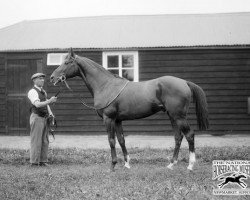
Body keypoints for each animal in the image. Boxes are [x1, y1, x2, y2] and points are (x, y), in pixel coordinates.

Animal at [49, 48, 209, 172]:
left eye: (67, 63)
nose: (52, 78)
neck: (105, 85)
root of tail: (184, 82)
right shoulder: (118, 120)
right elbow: (121, 140)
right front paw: (126, 164)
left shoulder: (109, 119)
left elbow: (111, 140)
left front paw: (113, 165)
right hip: (172, 116)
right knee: (178, 137)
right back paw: (171, 164)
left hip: (179, 116)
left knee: (189, 135)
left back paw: (190, 165)